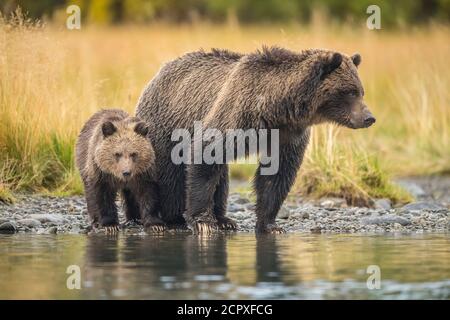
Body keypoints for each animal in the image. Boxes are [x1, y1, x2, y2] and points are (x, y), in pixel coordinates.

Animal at [137, 47, 376, 232]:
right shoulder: (237, 114)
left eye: (361, 91)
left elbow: (276, 176)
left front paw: (270, 224)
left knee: (222, 178)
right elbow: (205, 155)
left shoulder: (288, 135)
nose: (369, 117)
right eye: (351, 92)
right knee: (167, 174)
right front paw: (203, 221)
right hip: (166, 125)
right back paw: (169, 218)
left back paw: (224, 220)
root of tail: (158, 73)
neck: (276, 108)